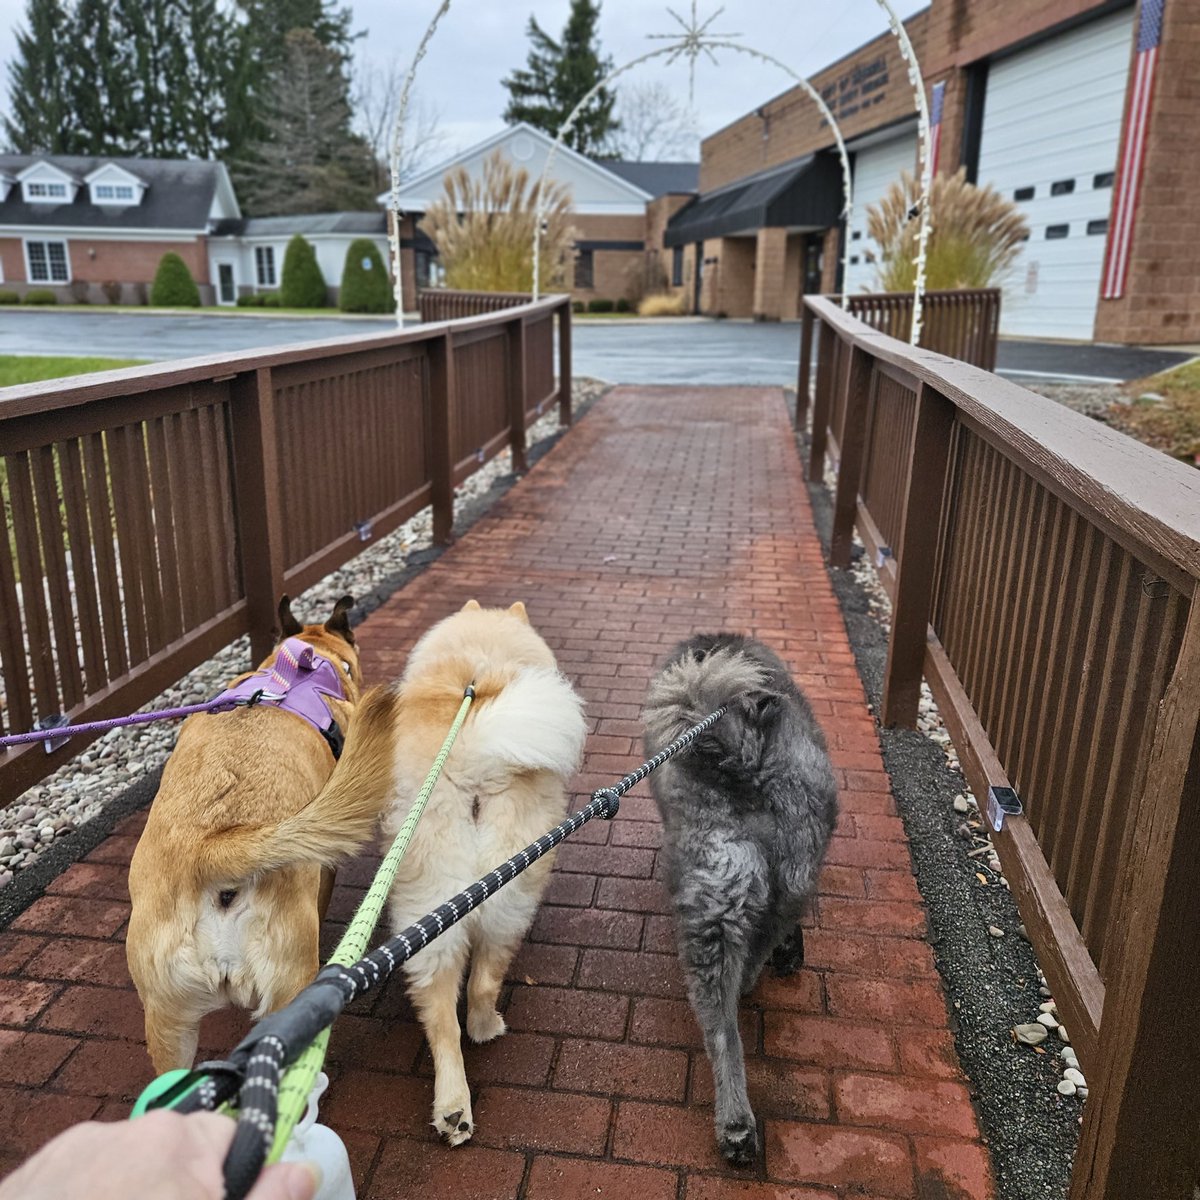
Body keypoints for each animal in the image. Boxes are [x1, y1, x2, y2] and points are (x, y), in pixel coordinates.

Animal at [316, 600, 583, 1142]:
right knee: (466, 995)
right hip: (496, 892)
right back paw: (475, 1057)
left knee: (452, 1008)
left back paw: (458, 1096)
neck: (477, 660)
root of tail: (477, 763)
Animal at [648, 633, 835, 1166]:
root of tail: (747, 758)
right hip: (780, 875)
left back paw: (733, 1124)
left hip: (716, 899)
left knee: (720, 1028)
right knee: (737, 995)